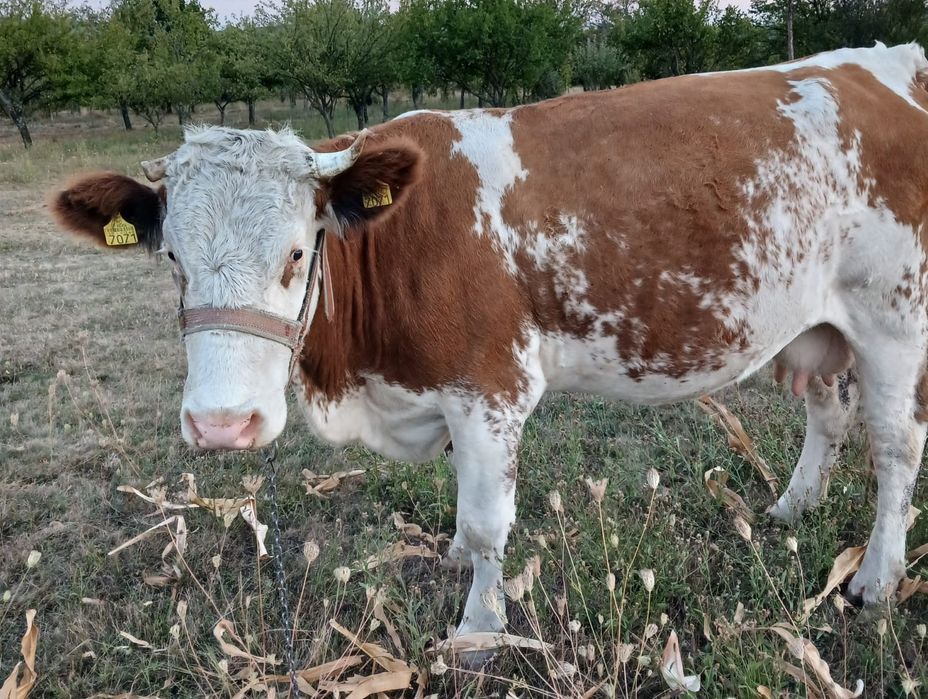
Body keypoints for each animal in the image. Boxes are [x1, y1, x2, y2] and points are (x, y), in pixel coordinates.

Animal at [51, 42, 928, 640]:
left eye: (296, 253)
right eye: (171, 257)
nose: (221, 425)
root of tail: (886, 63)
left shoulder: (490, 389)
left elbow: (486, 521)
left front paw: (478, 625)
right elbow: (463, 510)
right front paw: (452, 562)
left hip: (894, 318)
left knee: (894, 447)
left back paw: (876, 579)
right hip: (821, 323)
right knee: (828, 414)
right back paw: (790, 507)